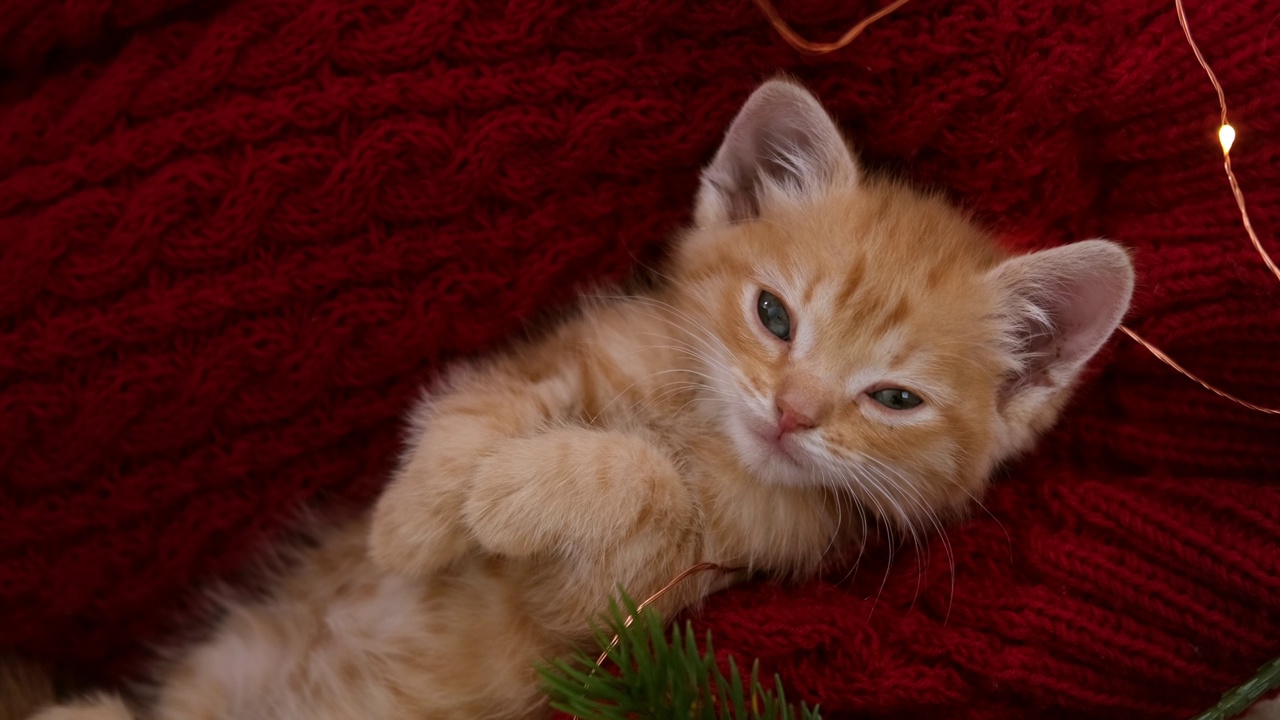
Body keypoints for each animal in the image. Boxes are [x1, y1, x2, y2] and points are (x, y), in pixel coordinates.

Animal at [24, 78, 1136, 717]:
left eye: (893, 398)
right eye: (774, 317)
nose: (792, 410)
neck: (698, 425)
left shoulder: (629, 605)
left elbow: (639, 484)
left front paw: (506, 498)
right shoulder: (558, 355)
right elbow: (472, 407)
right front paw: (412, 523)